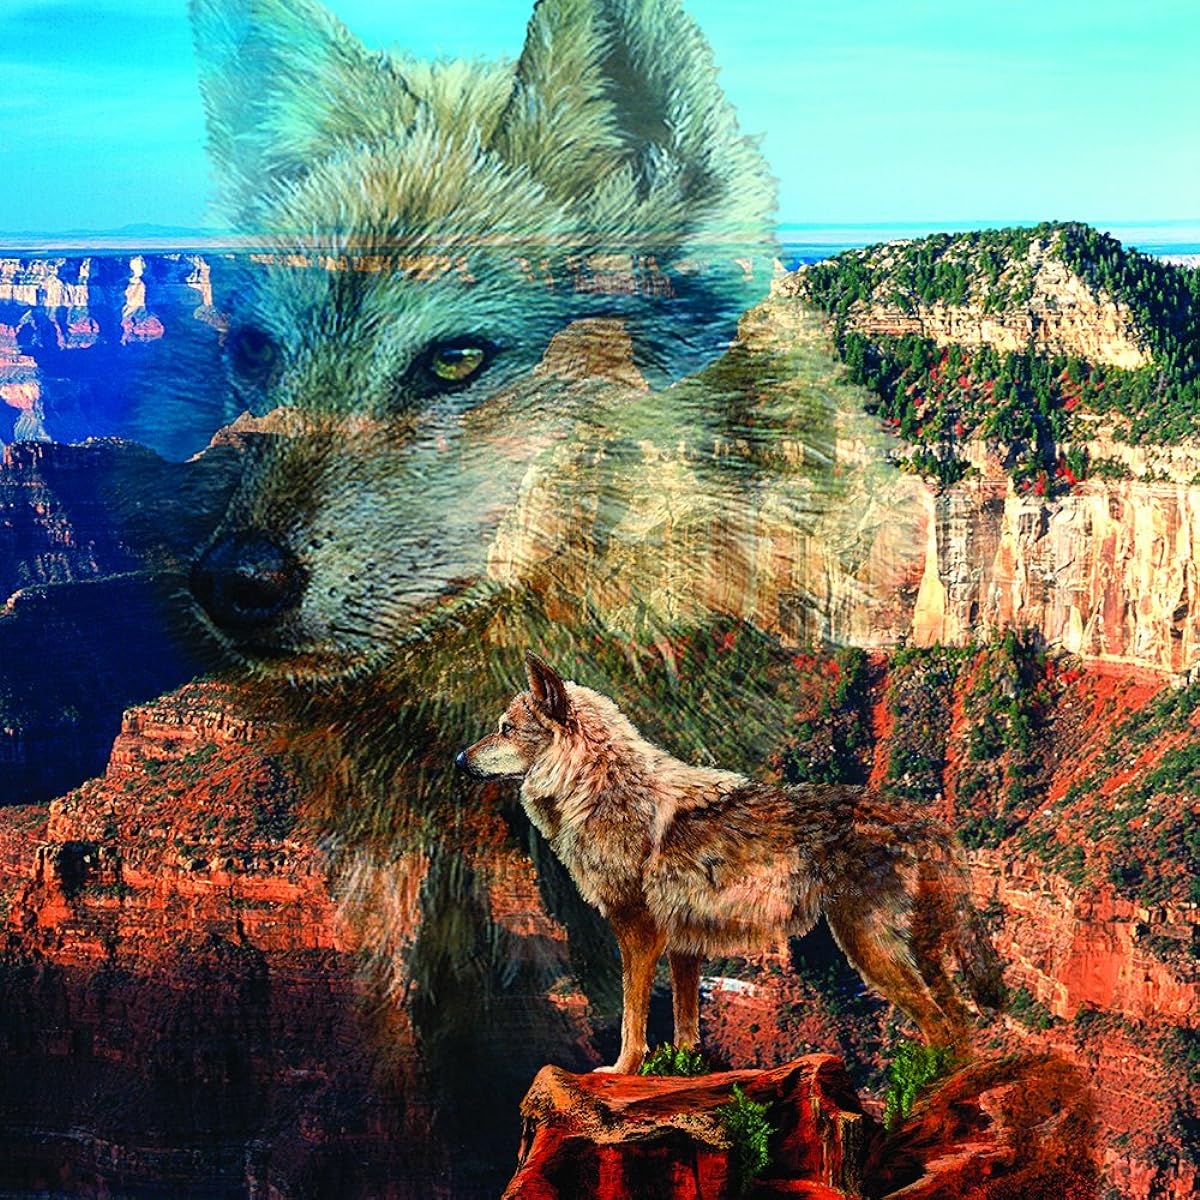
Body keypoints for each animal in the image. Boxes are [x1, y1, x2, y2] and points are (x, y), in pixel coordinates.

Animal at [458, 653, 1001, 1073]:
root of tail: (924, 818)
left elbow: (633, 1018)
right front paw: (684, 1071)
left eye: (505, 729)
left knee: (942, 1026)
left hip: (870, 949)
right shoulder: (683, 944)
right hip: (916, 952)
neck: (596, 790)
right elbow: (684, 1024)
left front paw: (622, 1071)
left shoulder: (638, 932)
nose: (460, 760)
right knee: (960, 1020)